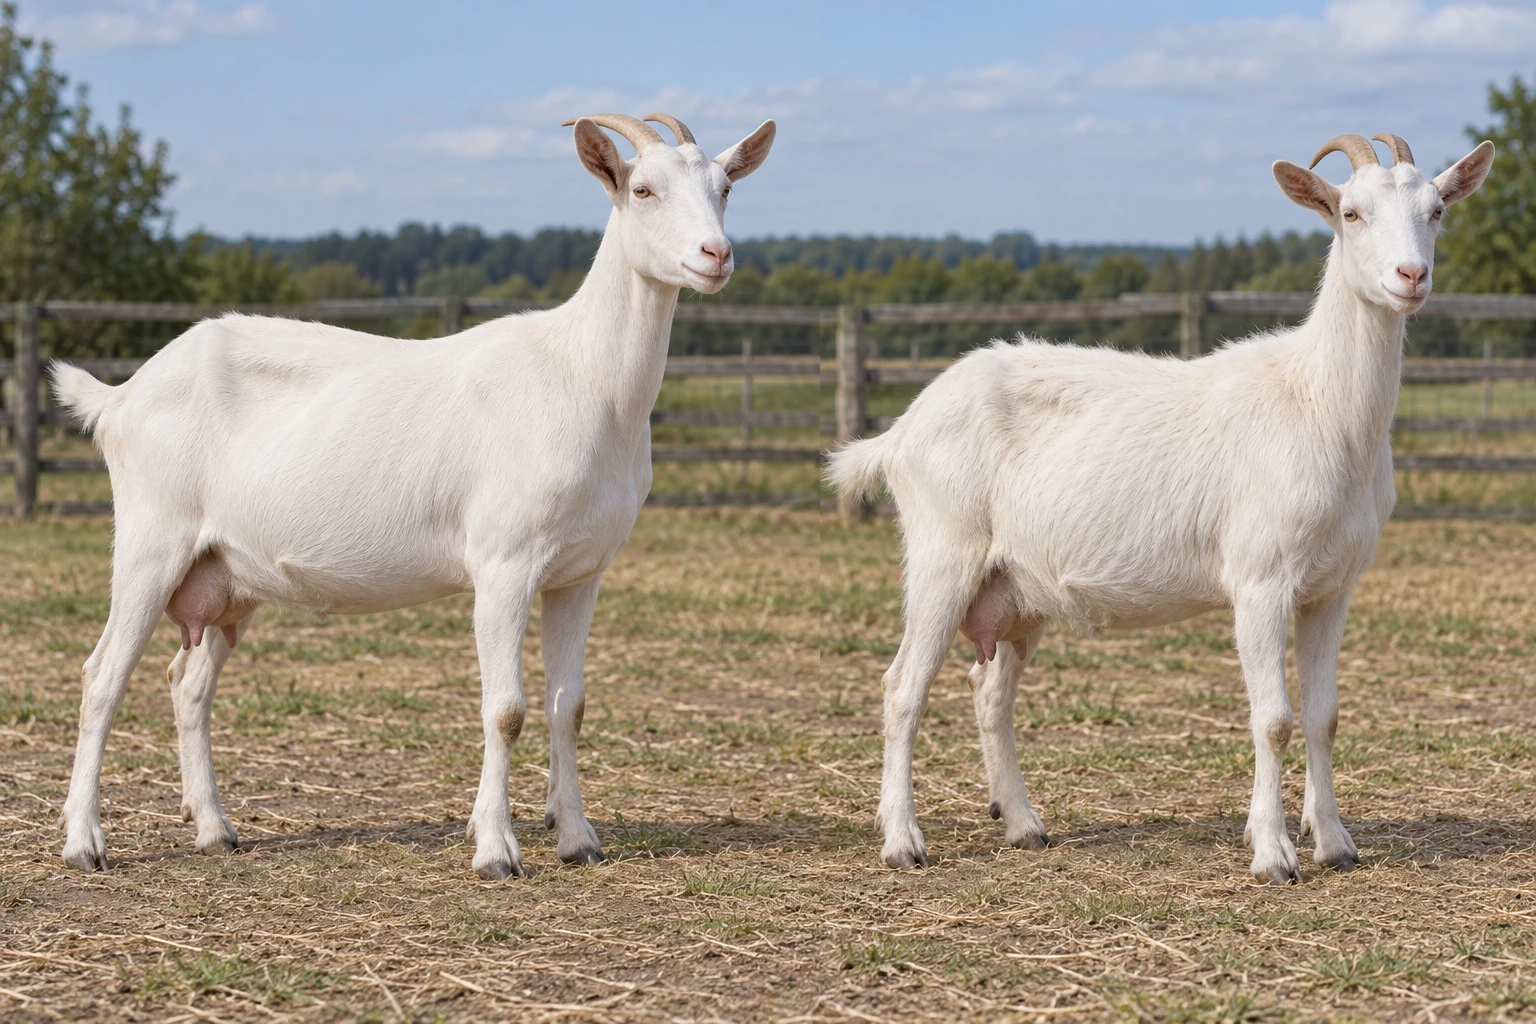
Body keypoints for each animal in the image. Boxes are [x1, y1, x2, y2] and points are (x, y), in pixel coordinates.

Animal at [50, 112, 776, 880]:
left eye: (726, 187)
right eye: (642, 189)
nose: (716, 254)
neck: (582, 378)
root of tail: (121, 397)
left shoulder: (580, 572)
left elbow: (568, 705)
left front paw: (578, 838)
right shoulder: (504, 563)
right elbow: (506, 709)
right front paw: (495, 850)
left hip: (226, 575)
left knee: (188, 684)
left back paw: (216, 828)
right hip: (151, 539)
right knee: (102, 677)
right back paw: (85, 842)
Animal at [828, 133, 1494, 884]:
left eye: (1437, 210)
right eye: (1349, 213)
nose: (1411, 276)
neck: (1318, 405)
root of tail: (901, 431)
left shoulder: (1332, 588)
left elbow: (1324, 715)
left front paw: (1335, 842)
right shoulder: (1261, 580)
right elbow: (1274, 718)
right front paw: (1273, 853)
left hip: (1016, 588)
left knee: (991, 692)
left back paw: (1024, 824)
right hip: (945, 550)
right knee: (902, 689)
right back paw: (903, 840)